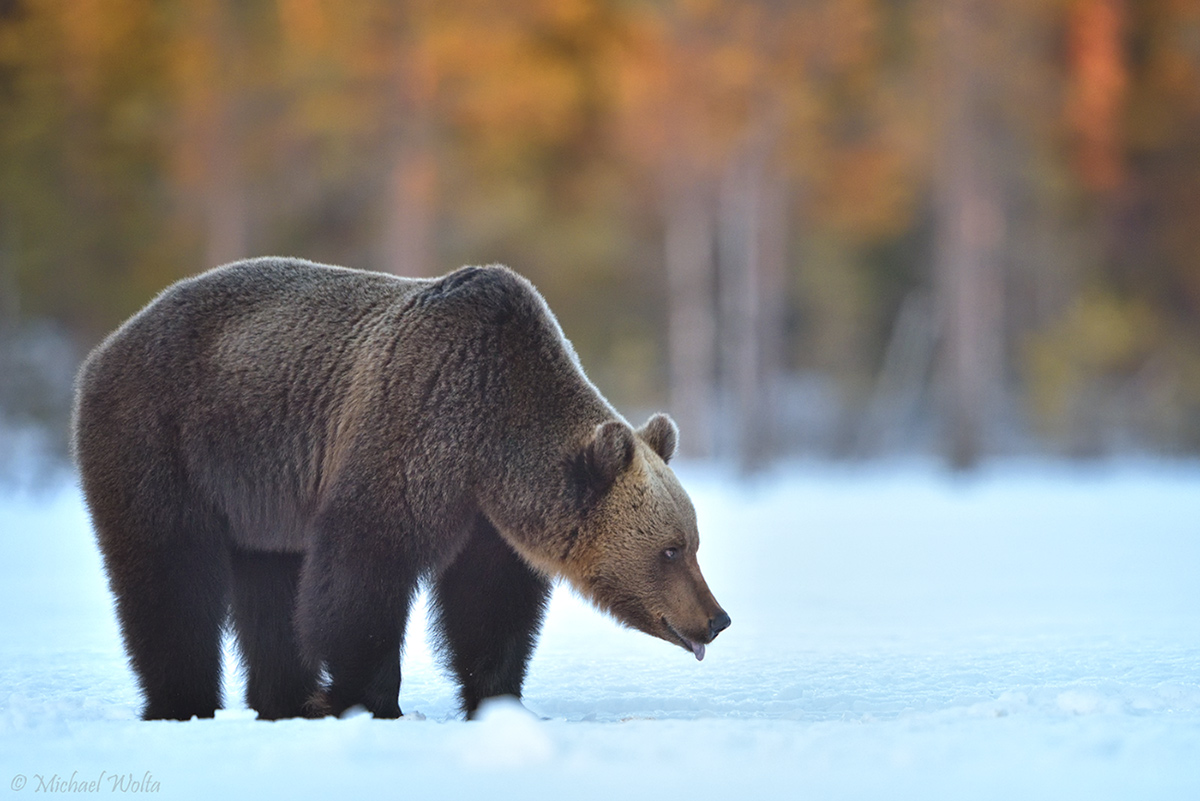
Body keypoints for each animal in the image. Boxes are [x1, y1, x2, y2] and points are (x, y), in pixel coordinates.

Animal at [77, 260, 729, 724]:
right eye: (670, 549)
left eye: (694, 543)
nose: (716, 619)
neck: (493, 439)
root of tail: (109, 343)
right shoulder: (413, 432)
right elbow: (360, 578)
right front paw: (368, 700)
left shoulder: (487, 521)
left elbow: (488, 608)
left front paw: (500, 702)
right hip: (166, 440)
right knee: (171, 579)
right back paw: (183, 703)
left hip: (260, 503)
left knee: (267, 589)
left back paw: (282, 701)